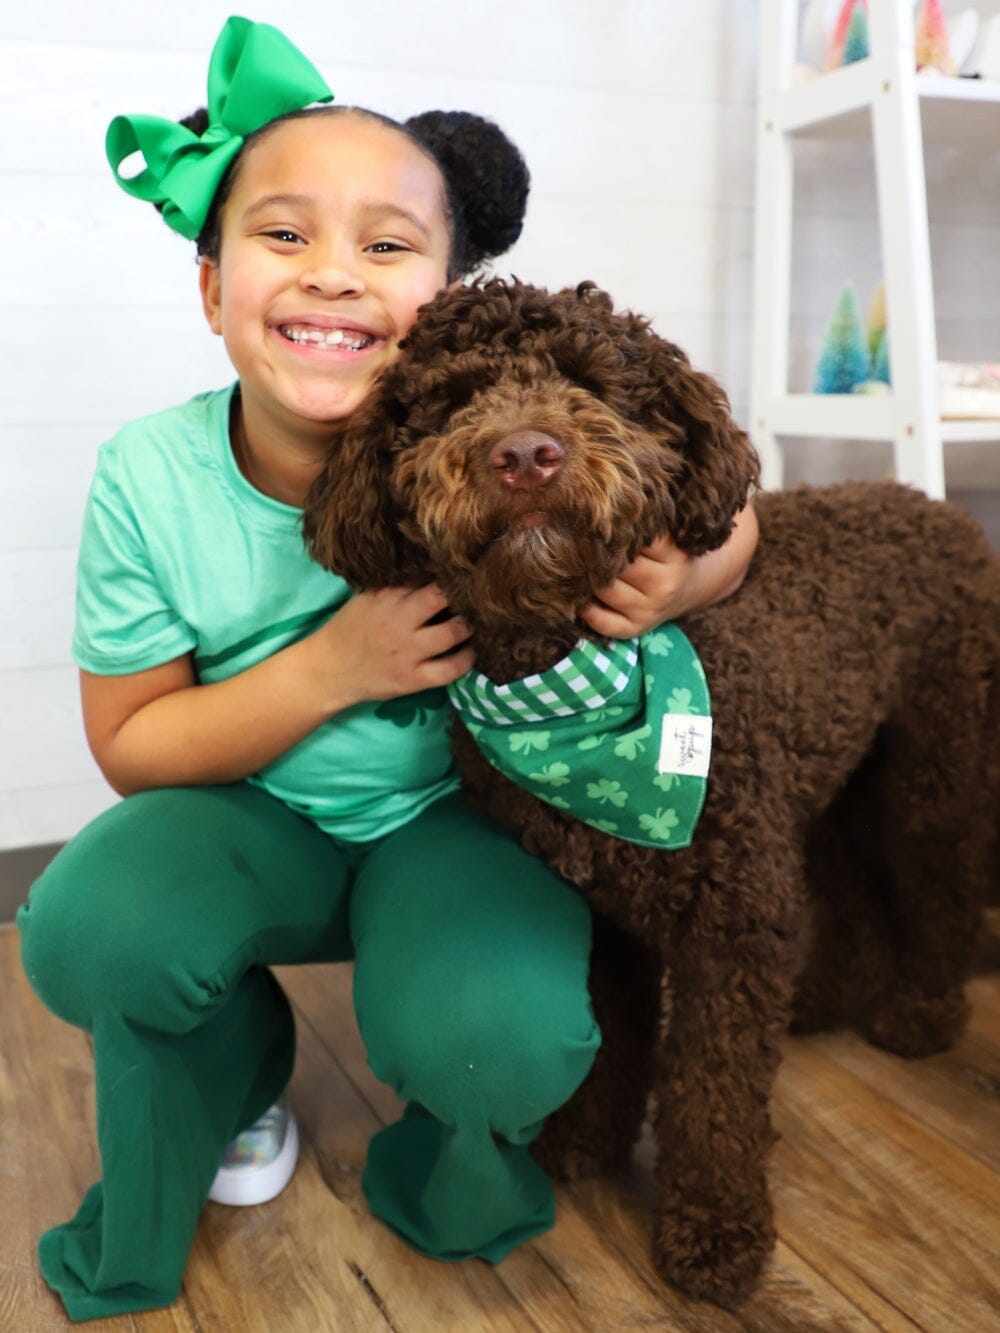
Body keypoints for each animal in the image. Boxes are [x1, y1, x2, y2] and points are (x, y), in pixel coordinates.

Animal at [304, 275, 1000, 1306]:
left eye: (594, 381)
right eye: (452, 398)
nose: (525, 455)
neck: (567, 684)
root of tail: (937, 509)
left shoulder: (730, 919)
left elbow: (713, 1091)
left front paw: (716, 1233)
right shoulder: (600, 907)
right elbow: (614, 1040)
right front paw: (584, 1141)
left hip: (931, 773)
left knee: (940, 890)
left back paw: (920, 1012)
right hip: (826, 790)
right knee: (849, 890)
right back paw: (826, 997)